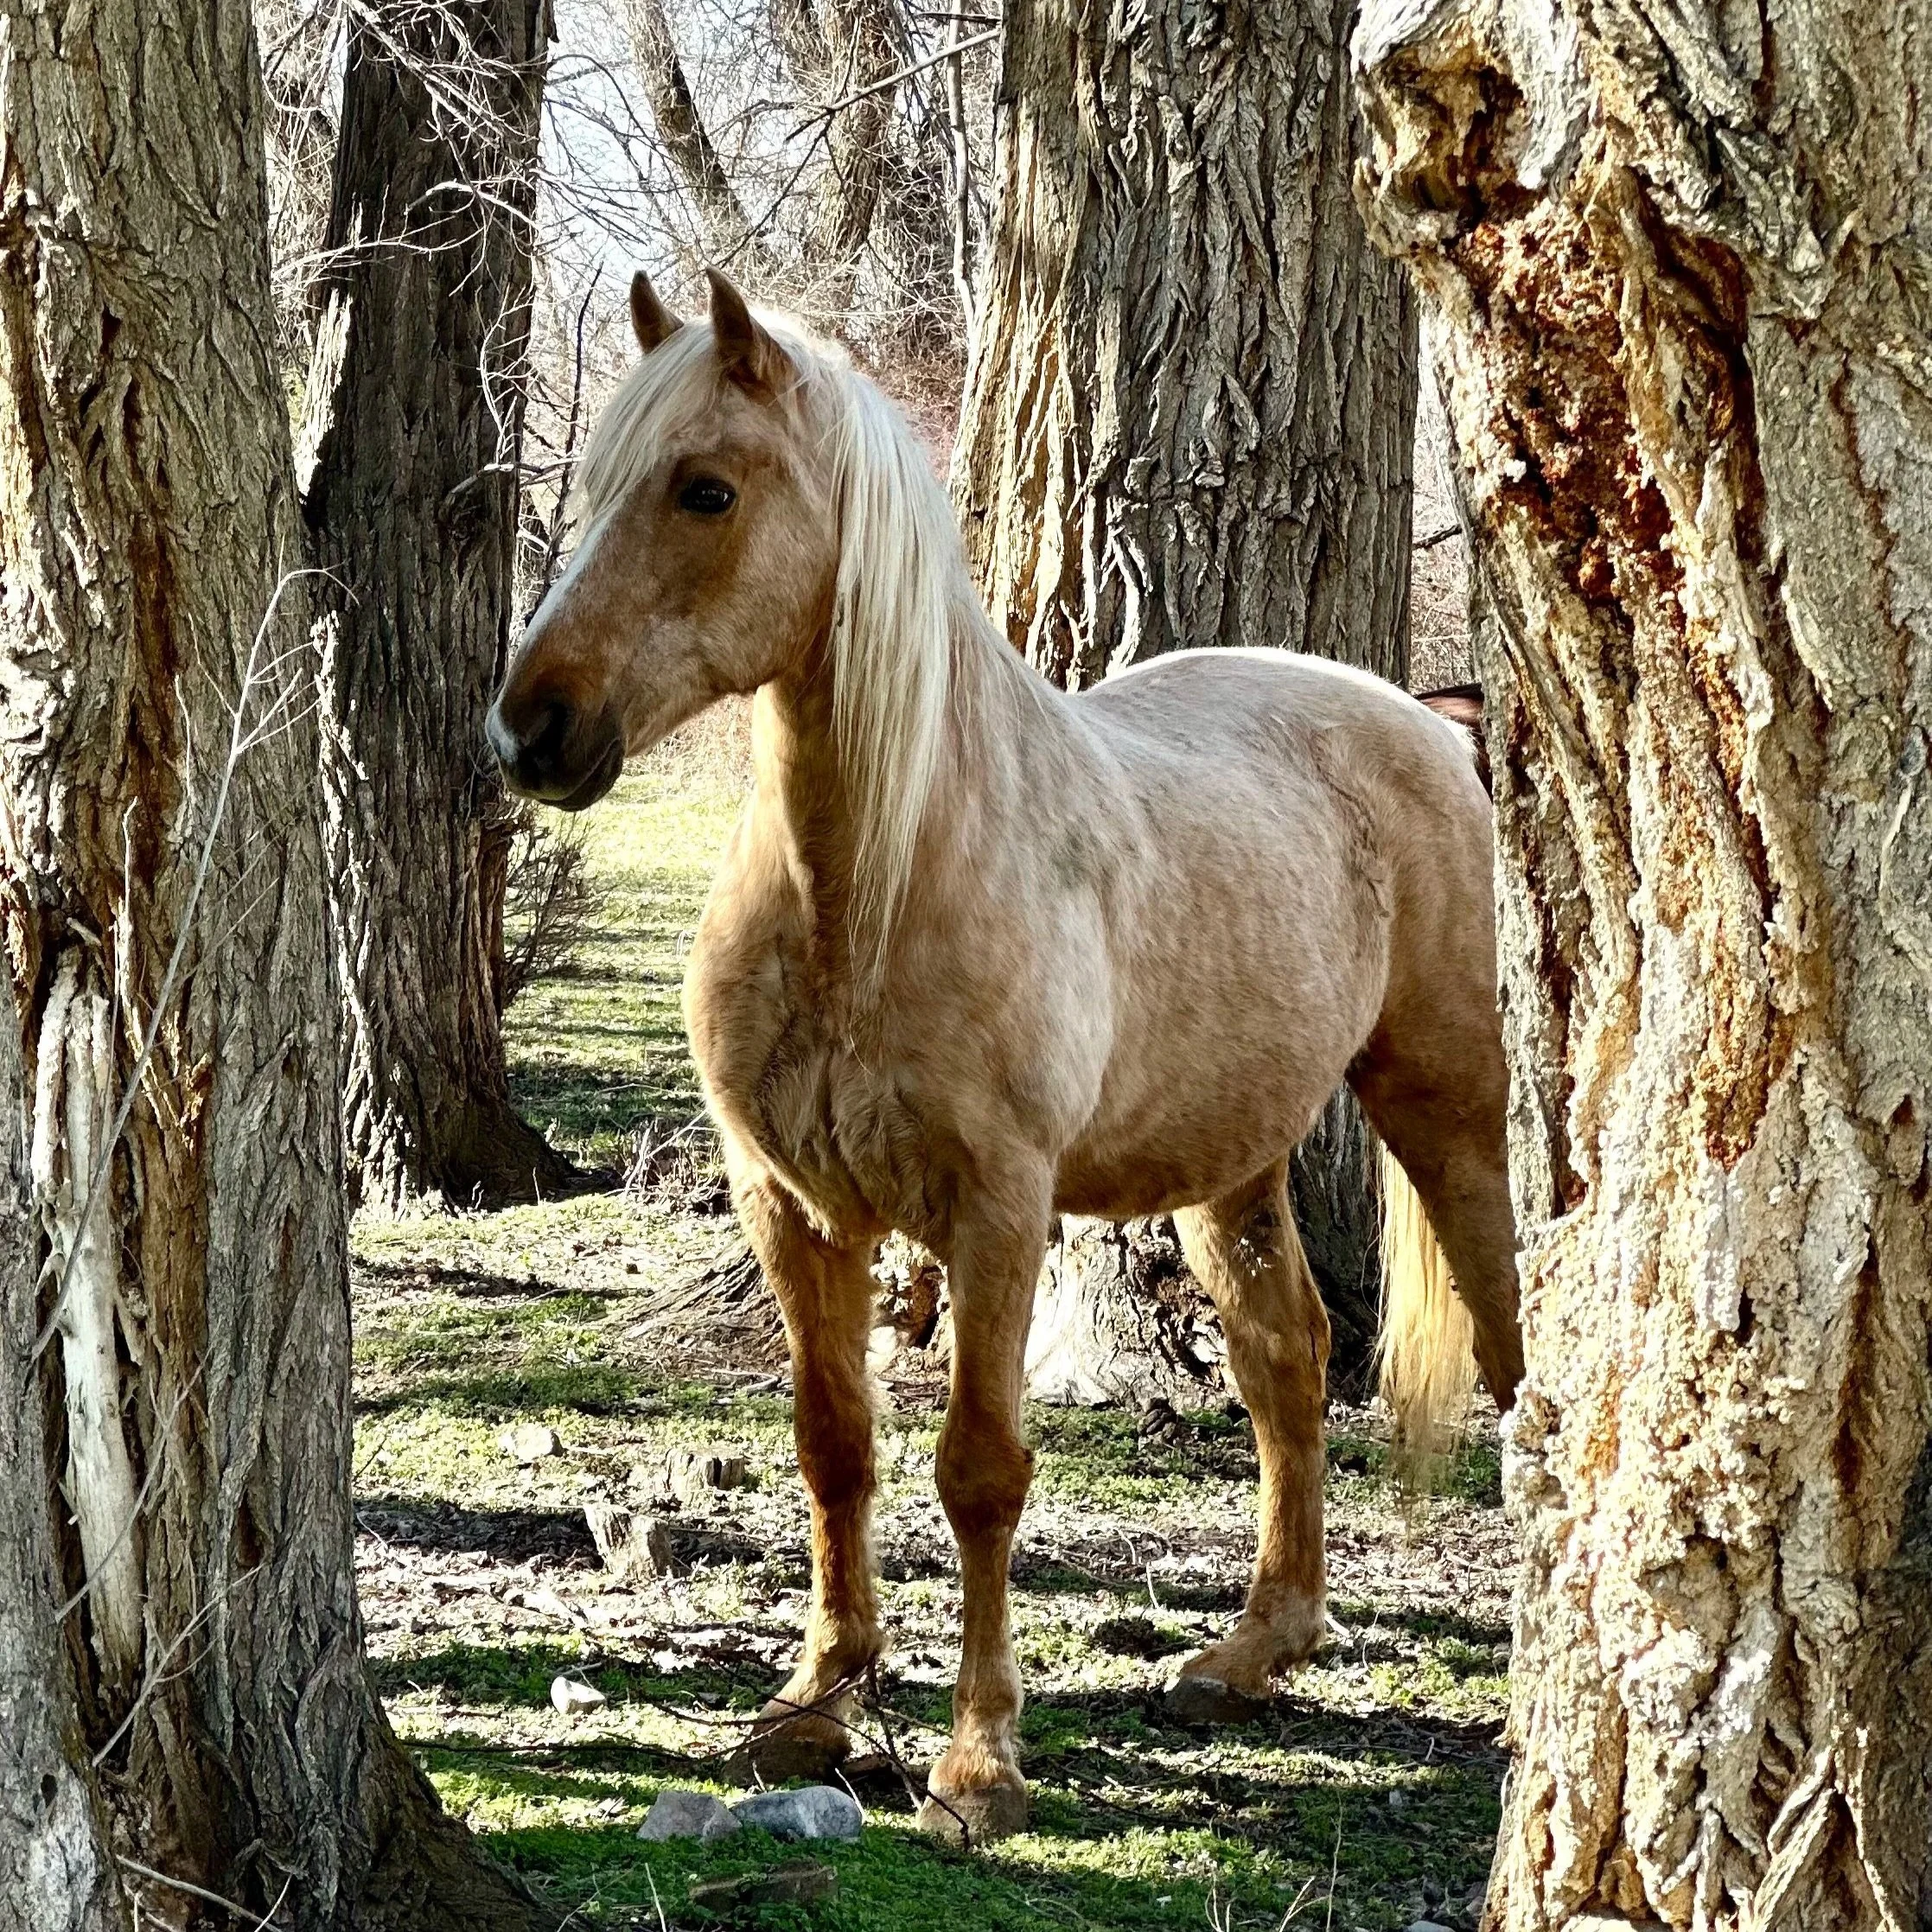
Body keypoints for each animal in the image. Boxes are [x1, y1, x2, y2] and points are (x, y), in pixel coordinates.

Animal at [488, 268, 1523, 1845]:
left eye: (704, 488)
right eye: (600, 481)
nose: (530, 729)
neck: (870, 886)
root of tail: (1418, 717)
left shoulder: (995, 1209)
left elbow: (978, 1471)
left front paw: (978, 1762)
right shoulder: (792, 1210)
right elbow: (835, 1446)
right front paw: (814, 1705)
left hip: (1446, 1105)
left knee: (1516, 1340)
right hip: (1230, 1162)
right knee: (1286, 1360)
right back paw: (1253, 1648)